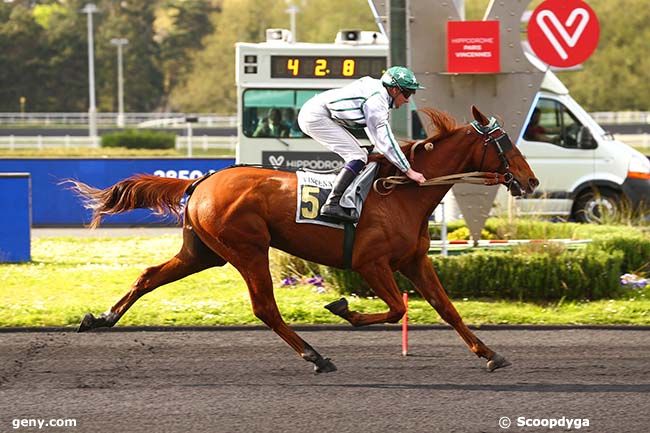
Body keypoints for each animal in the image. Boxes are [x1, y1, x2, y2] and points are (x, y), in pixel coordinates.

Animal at [69, 106, 536, 372]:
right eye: (505, 144)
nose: (530, 181)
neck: (402, 193)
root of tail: (202, 181)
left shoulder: (413, 260)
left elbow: (446, 308)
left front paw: (490, 354)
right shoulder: (370, 263)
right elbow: (396, 308)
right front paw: (342, 307)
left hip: (203, 252)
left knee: (149, 275)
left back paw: (101, 318)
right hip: (247, 249)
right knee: (264, 307)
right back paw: (316, 356)